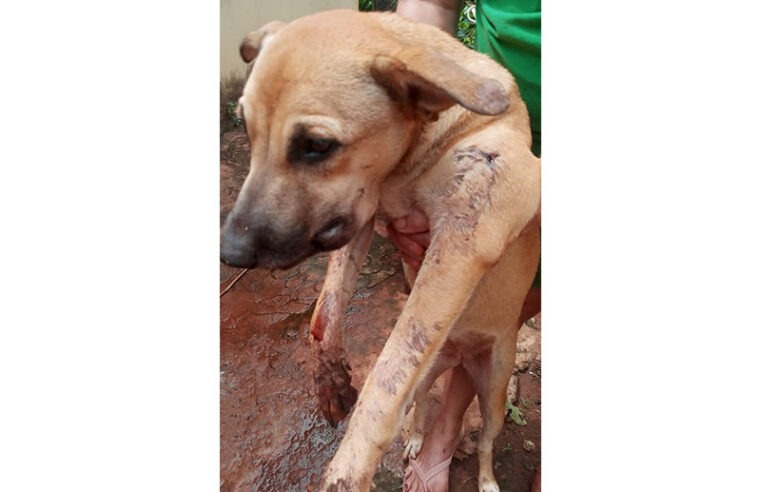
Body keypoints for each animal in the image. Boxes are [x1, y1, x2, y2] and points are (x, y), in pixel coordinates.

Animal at [220, 8, 540, 492]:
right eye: (247, 128)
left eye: (316, 145)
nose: (229, 252)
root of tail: (460, 355)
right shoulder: (361, 216)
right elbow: (324, 314)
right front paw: (331, 382)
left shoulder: (463, 239)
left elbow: (388, 376)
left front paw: (347, 470)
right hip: (435, 373)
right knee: (423, 404)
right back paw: (417, 441)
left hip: (495, 390)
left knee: (484, 440)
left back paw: (485, 478)